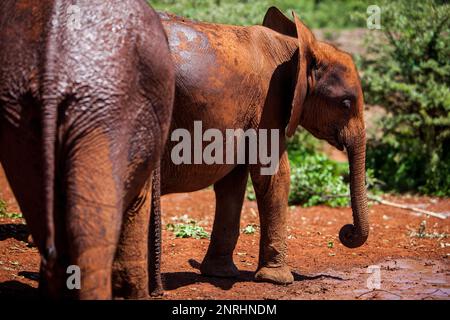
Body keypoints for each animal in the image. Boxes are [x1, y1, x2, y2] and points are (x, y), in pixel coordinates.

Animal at [151, 7, 370, 286]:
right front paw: (278, 280)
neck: (294, 49)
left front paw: (220, 273)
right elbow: (275, 176)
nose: (346, 232)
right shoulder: (269, 102)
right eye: (345, 103)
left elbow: (232, 183)